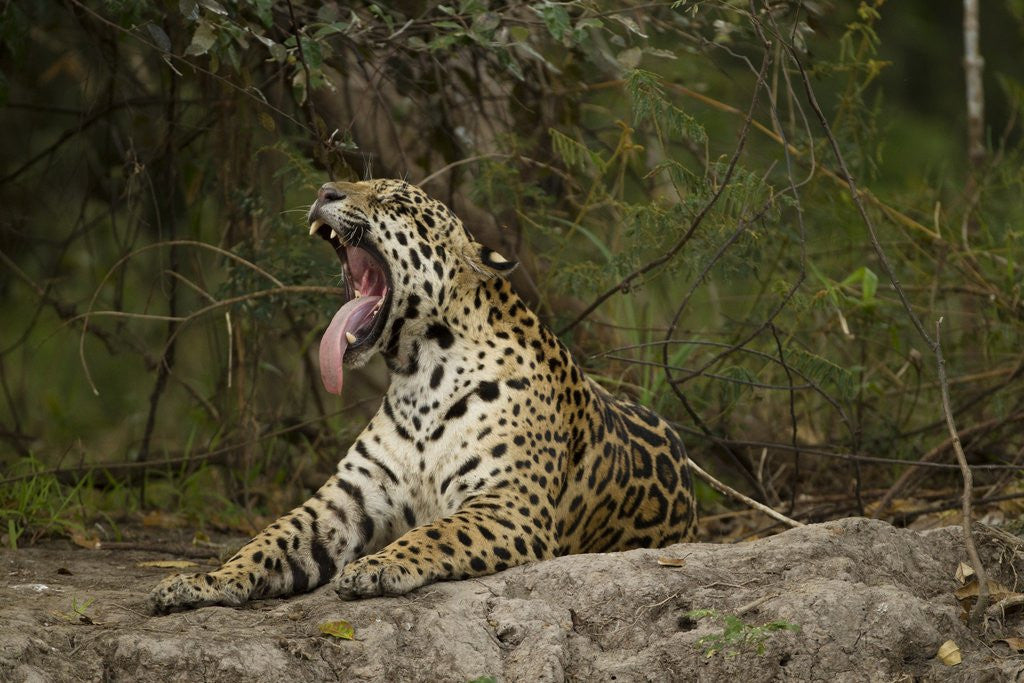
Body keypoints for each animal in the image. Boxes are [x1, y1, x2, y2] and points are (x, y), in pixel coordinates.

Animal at [150, 178, 697, 612]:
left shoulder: (509, 504)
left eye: (394, 200)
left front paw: (375, 567)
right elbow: (267, 540)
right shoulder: (345, 502)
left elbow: (438, 531)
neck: (421, 377)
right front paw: (201, 581)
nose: (324, 191)